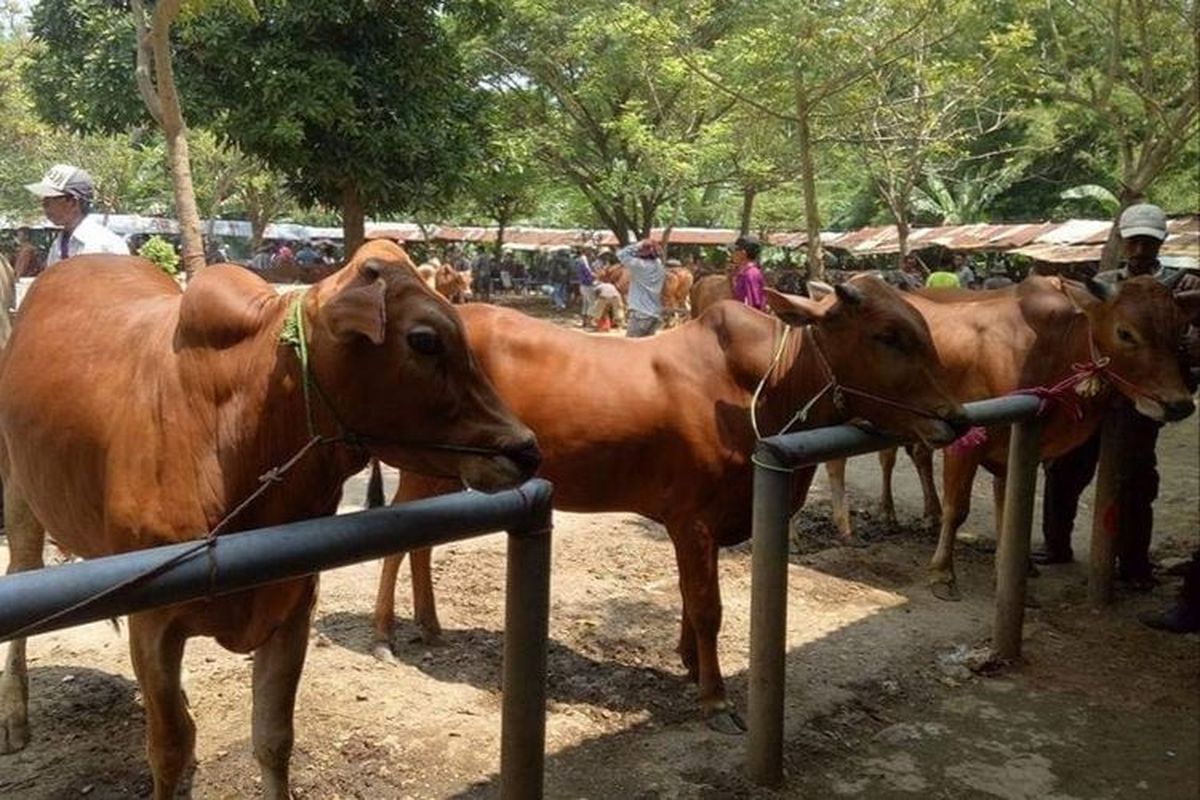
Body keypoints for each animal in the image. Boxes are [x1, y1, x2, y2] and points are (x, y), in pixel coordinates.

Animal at [0, 241, 540, 796]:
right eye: (425, 340)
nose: (525, 448)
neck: (233, 435)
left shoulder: (293, 603)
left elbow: (274, 737)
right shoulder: (152, 621)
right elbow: (169, 751)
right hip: (19, 492)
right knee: (22, 573)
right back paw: (15, 715)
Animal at [372, 278, 964, 734]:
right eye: (888, 336)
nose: (956, 417)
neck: (759, 388)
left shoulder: (702, 525)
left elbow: (688, 595)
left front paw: (689, 664)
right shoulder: (693, 520)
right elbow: (707, 607)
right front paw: (715, 697)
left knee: (421, 545)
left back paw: (429, 624)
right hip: (423, 473)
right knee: (395, 549)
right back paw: (384, 635)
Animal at [820, 278, 1195, 597]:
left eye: (1180, 330)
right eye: (1125, 332)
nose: (1179, 403)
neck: (1049, 347)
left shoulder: (1015, 448)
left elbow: (1009, 506)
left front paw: (1015, 566)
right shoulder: (966, 441)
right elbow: (959, 509)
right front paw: (943, 573)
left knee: (915, 456)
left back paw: (924, 513)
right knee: (859, 461)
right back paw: (868, 520)